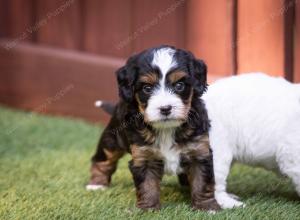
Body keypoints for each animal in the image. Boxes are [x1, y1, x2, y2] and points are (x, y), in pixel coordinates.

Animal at [85, 45, 219, 211]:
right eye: (147, 88)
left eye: (179, 85)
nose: (165, 108)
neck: (167, 129)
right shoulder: (144, 156)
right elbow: (147, 185)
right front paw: (148, 209)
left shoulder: (199, 151)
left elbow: (202, 183)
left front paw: (207, 208)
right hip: (112, 140)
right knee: (103, 159)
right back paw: (96, 184)